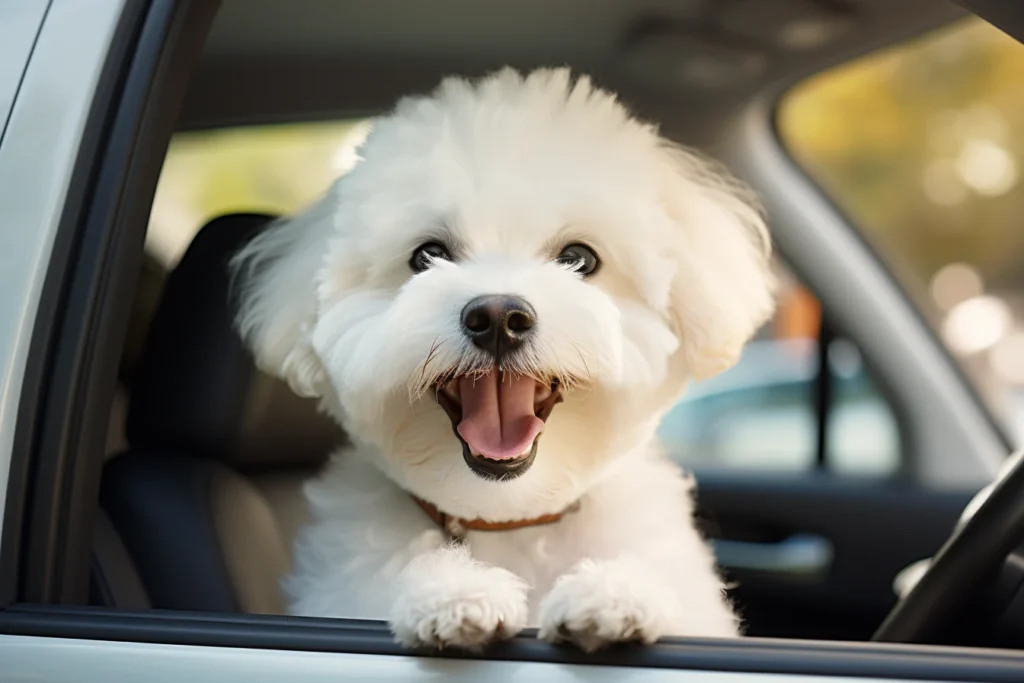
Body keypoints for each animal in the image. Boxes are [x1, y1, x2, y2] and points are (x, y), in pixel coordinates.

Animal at [232, 68, 774, 651]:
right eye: (427, 255)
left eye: (580, 258)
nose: (497, 316)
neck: (509, 520)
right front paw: (455, 592)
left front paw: (612, 594)